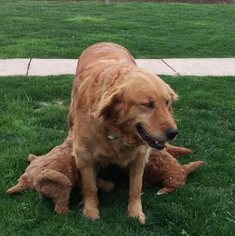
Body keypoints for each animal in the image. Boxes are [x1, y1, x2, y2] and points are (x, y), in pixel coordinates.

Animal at [69, 42, 178, 223]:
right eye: (148, 104)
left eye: (167, 102)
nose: (173, 133)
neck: (117, 131)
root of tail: (104, 41)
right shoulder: (84, 155)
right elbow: (90, 186)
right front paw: (91, 211)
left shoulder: (140, 156)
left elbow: (136, 187)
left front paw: (135, 212)